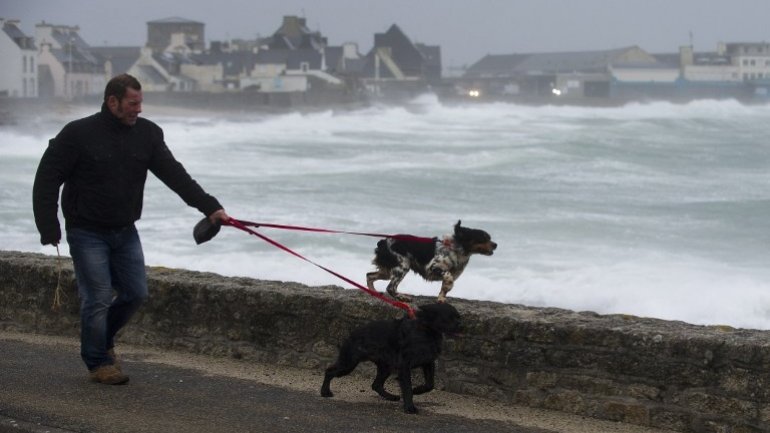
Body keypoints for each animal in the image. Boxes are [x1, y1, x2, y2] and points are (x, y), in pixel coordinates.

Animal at [320, 302, 460, 414]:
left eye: (457, 317)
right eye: (448, 318)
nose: (461, 325)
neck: (427, 331)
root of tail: (351, 335)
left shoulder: (428, 362)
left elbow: (430, 384)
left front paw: (417, 390)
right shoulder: (405, 366)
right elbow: (407, 388)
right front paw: (410, 408)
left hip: (385, 367)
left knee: (376, 385)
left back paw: (391, 397)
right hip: (348, 364)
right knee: (329, 371)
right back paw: (325, 392)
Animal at [368, 221, 498, 302]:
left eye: (489, 238)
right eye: (483, 238)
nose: (496, 245)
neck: (456, 249)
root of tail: (383, 242)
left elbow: (444, 287)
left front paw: (441, 298)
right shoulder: (433, 267)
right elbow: (448, 277)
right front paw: (447, 288)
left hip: (388, 270)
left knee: (369, 275)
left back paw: (373, 292)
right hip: (402, 266)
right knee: (390, 287)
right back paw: (402, 297)